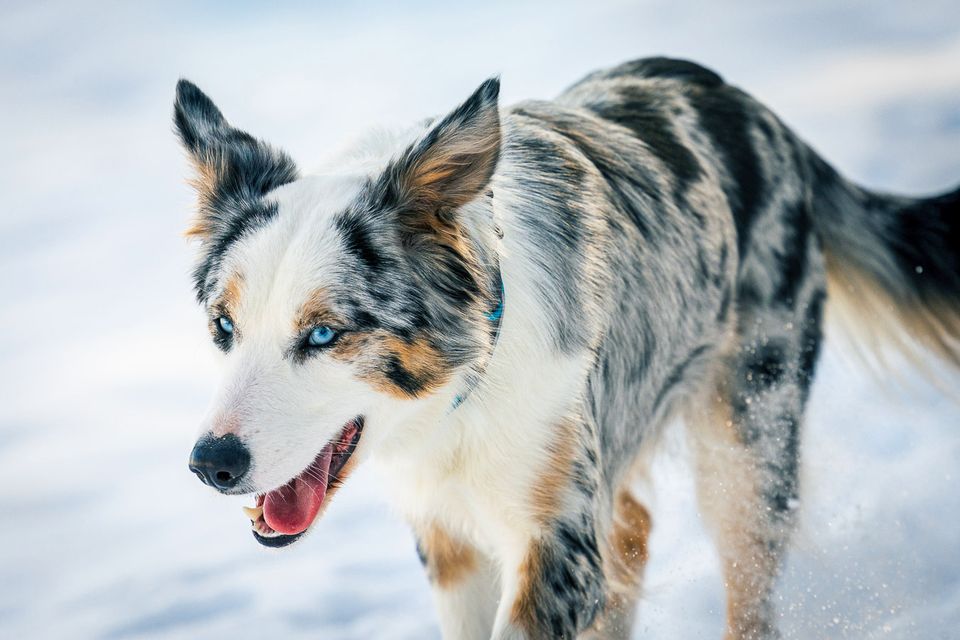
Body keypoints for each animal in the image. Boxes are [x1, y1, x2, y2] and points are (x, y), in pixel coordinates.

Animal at [176, 57, 956, 636]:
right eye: (223, 327)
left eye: (324, 332)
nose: (211, 464)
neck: (465, 398)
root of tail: (754, 109)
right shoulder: (449, 539)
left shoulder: (555, 536)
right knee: (635, 528)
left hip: (749, 440)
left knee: (746, 583)